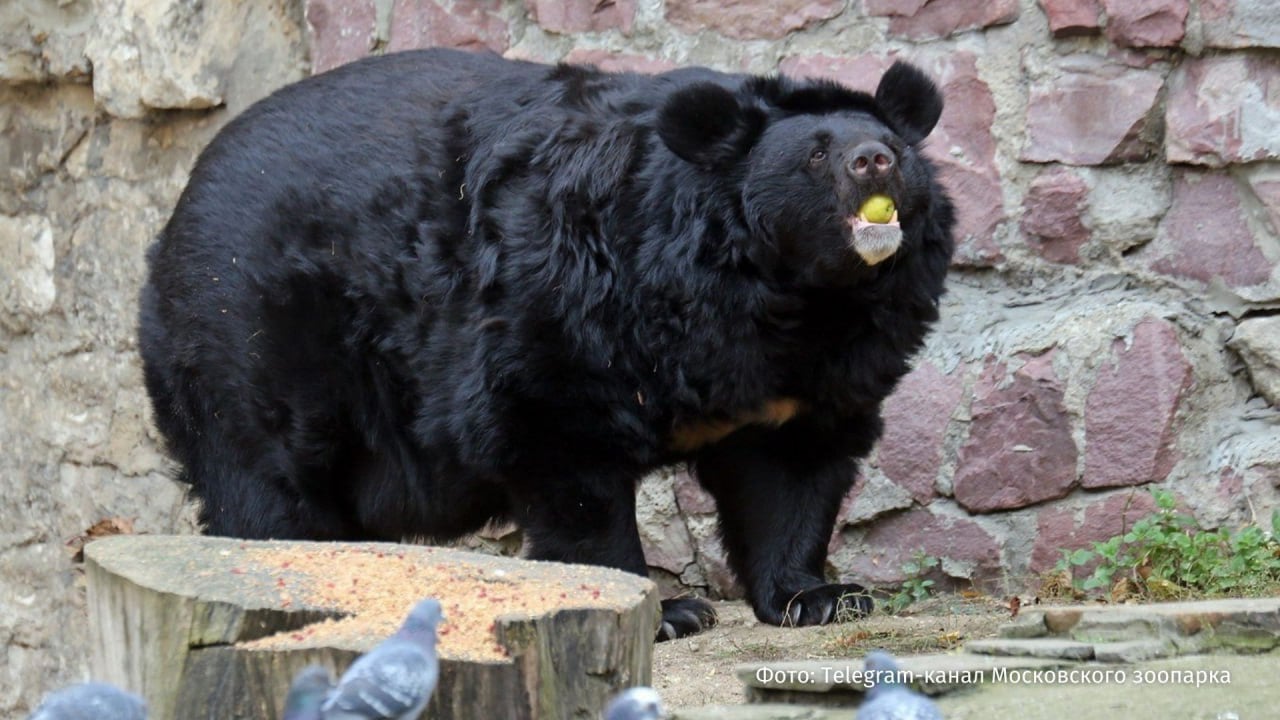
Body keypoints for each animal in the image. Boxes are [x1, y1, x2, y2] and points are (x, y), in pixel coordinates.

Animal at [142, 47, 952, 635]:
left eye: (893, 146)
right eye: (816, 154)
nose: (873, 160)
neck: (791, 297)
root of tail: (176, 211)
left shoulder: (818, 371)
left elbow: (793, 472)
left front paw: (820, 597)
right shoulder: (571, 303)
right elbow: (562, 452)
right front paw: (666, 610)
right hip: (253, 337)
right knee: (268, 485)